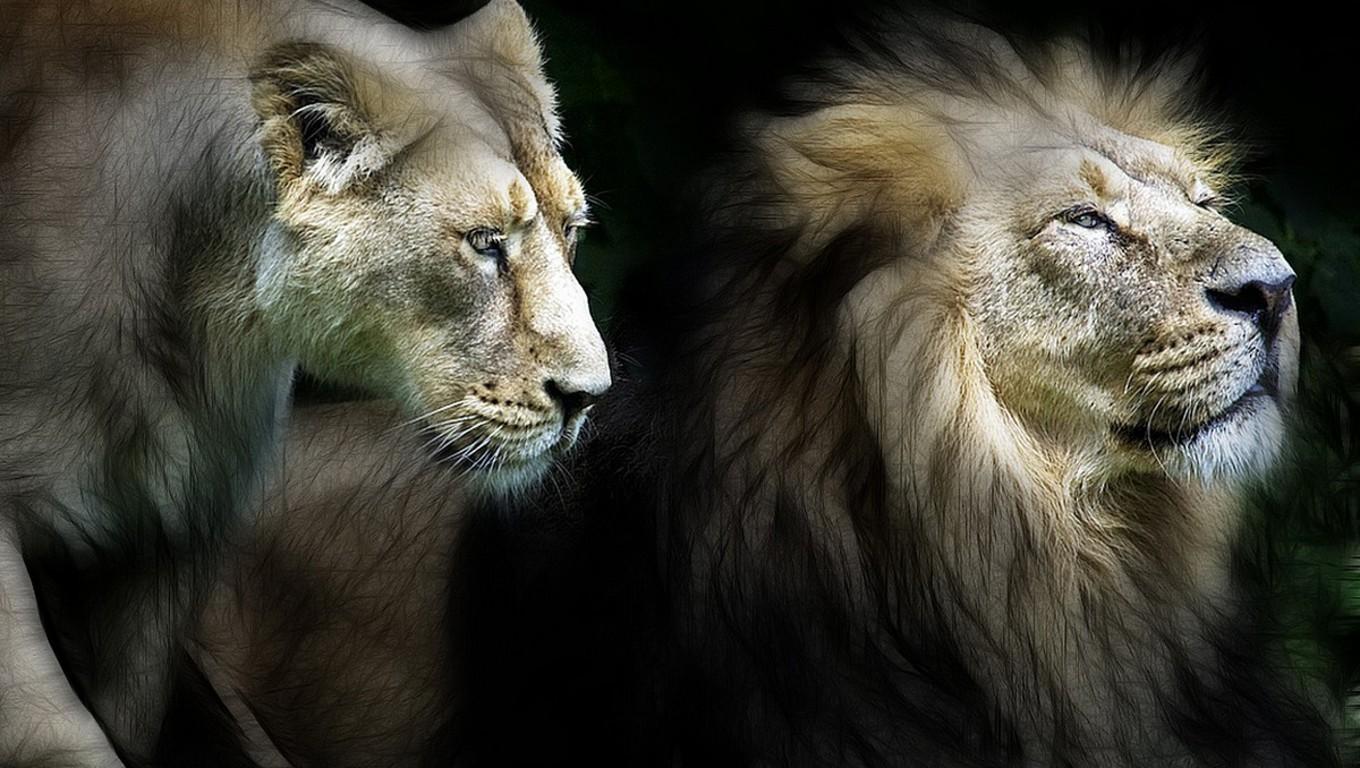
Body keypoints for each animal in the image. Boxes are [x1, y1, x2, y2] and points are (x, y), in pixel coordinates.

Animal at [0, 0, 608, 763]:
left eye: (571, 229)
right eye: (484, 243)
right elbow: (53, 727)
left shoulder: (168, 540)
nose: (588, 397)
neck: (197, 306)